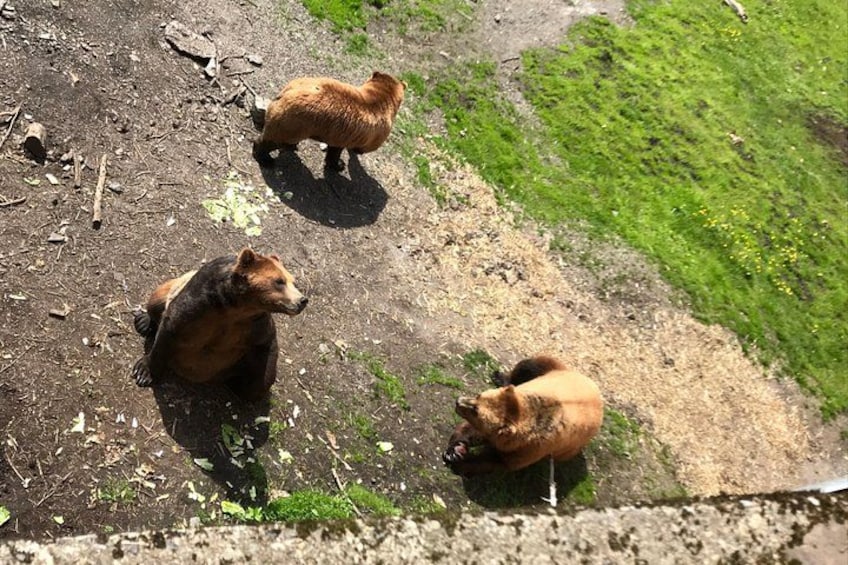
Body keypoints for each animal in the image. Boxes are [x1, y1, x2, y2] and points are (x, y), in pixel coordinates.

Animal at [131, 248, 308, 402]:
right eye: (279, 281)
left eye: (293, 281)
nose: (302, 300)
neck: (237, 307)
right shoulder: (199, 306)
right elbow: (170, 327)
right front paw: (144, 372)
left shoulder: (253, 326)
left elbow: (265, 363)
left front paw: (245, 385)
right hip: (173, 285)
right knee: (156, 299)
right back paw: (143, 322)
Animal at [252, 71, 406, 172]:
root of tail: (288, 91)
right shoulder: (371, 134)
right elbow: (339, 151)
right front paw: (340, 164)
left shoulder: (341, 134)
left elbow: (334, 148)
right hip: (294, 122)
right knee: (273, 140)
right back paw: (265, 158)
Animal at [442, 355, 603, 476]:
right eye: (478, 395)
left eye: (475, 411)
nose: (458, 401)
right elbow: (470, 430)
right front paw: (454, 451)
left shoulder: (529, 448)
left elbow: (496, 460)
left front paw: (461, 463)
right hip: (550, 370)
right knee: (527, 365)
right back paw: (499, 376)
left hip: (571, 447)